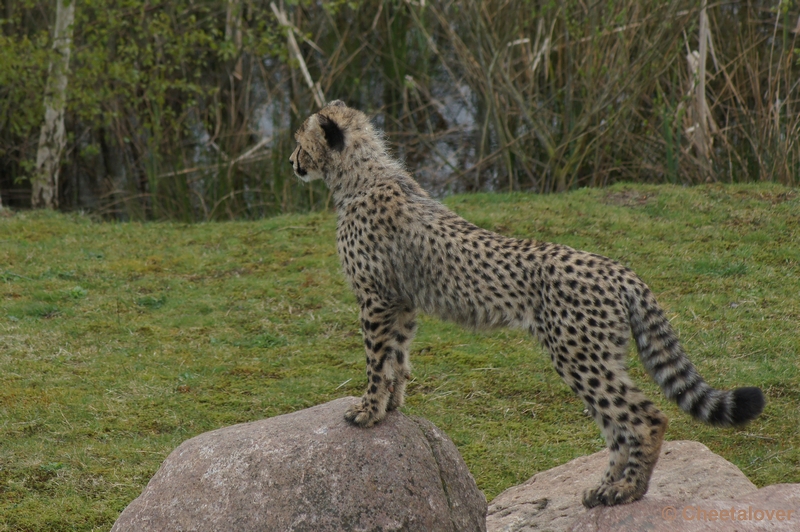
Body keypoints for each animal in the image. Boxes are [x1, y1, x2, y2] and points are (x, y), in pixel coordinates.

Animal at [290, 101, 764, 508]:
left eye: (298, 140)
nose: (292, 163)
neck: (362, 175)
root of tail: (619, 269)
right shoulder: (402, 302)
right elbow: (397, 361)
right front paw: (390, 408)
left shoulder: (375, 299)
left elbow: (377, 361)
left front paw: (368, 410)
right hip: (597, 355)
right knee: (616, 428)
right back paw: (604, 489)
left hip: (578, 355)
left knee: (644, 417)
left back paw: (626, 491)